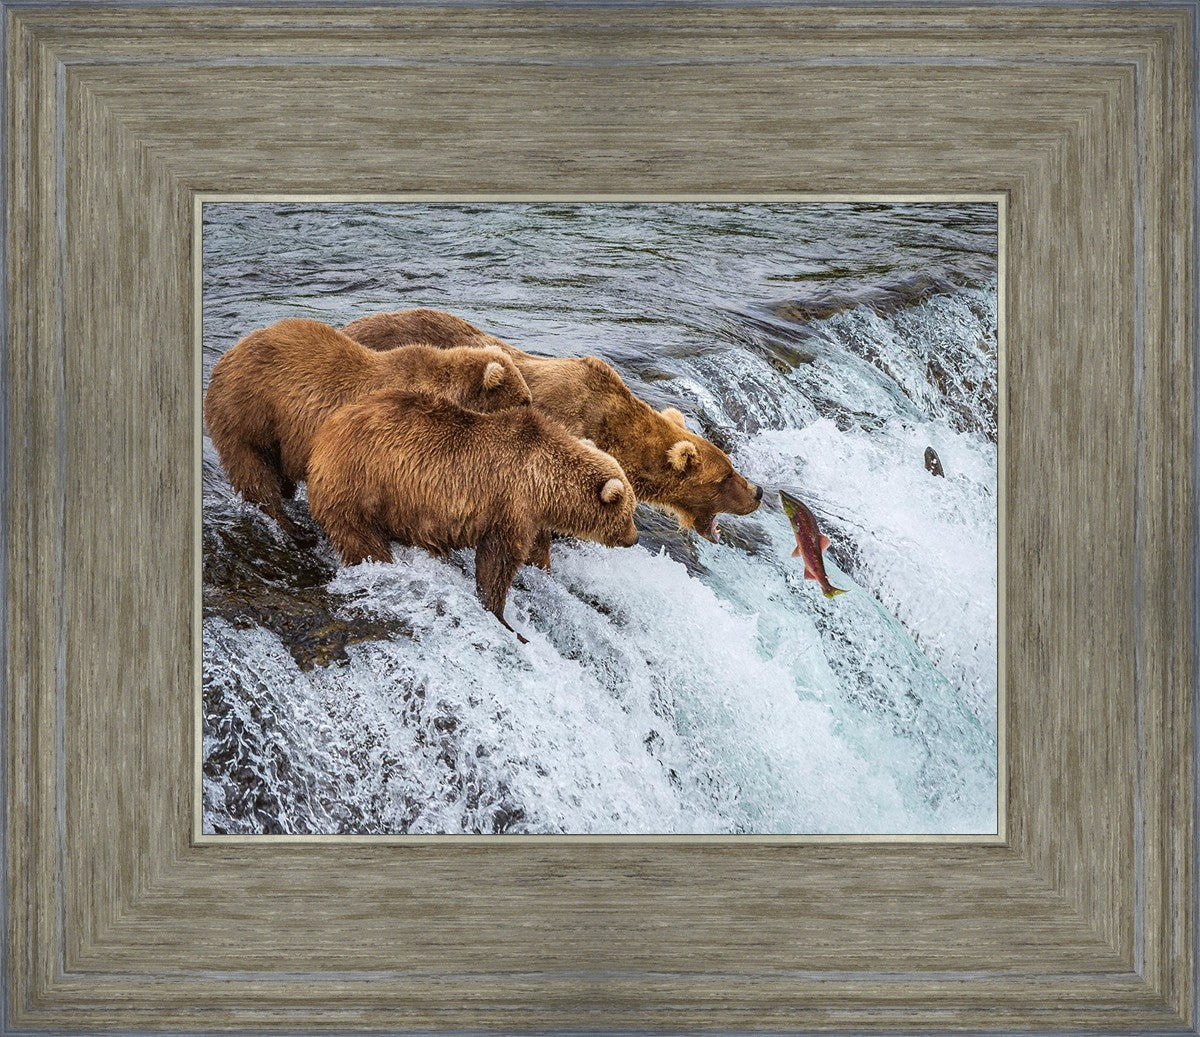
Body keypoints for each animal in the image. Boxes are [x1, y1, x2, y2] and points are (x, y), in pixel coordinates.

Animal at [204, 317, 532, 542]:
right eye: (524, 400)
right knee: (254, 471)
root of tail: (226, 356)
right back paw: (293, 528)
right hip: (249, 413)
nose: (533, 412)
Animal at [305, 388, 640, 641]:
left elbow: (535, 550)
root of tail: (324, 434)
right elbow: (498, 561)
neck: (545, 483)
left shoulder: (532, 516)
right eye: (629, 512)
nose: (634, 538)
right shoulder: (510, 503)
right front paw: (503, 617)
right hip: (361, 485)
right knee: (361, 539)